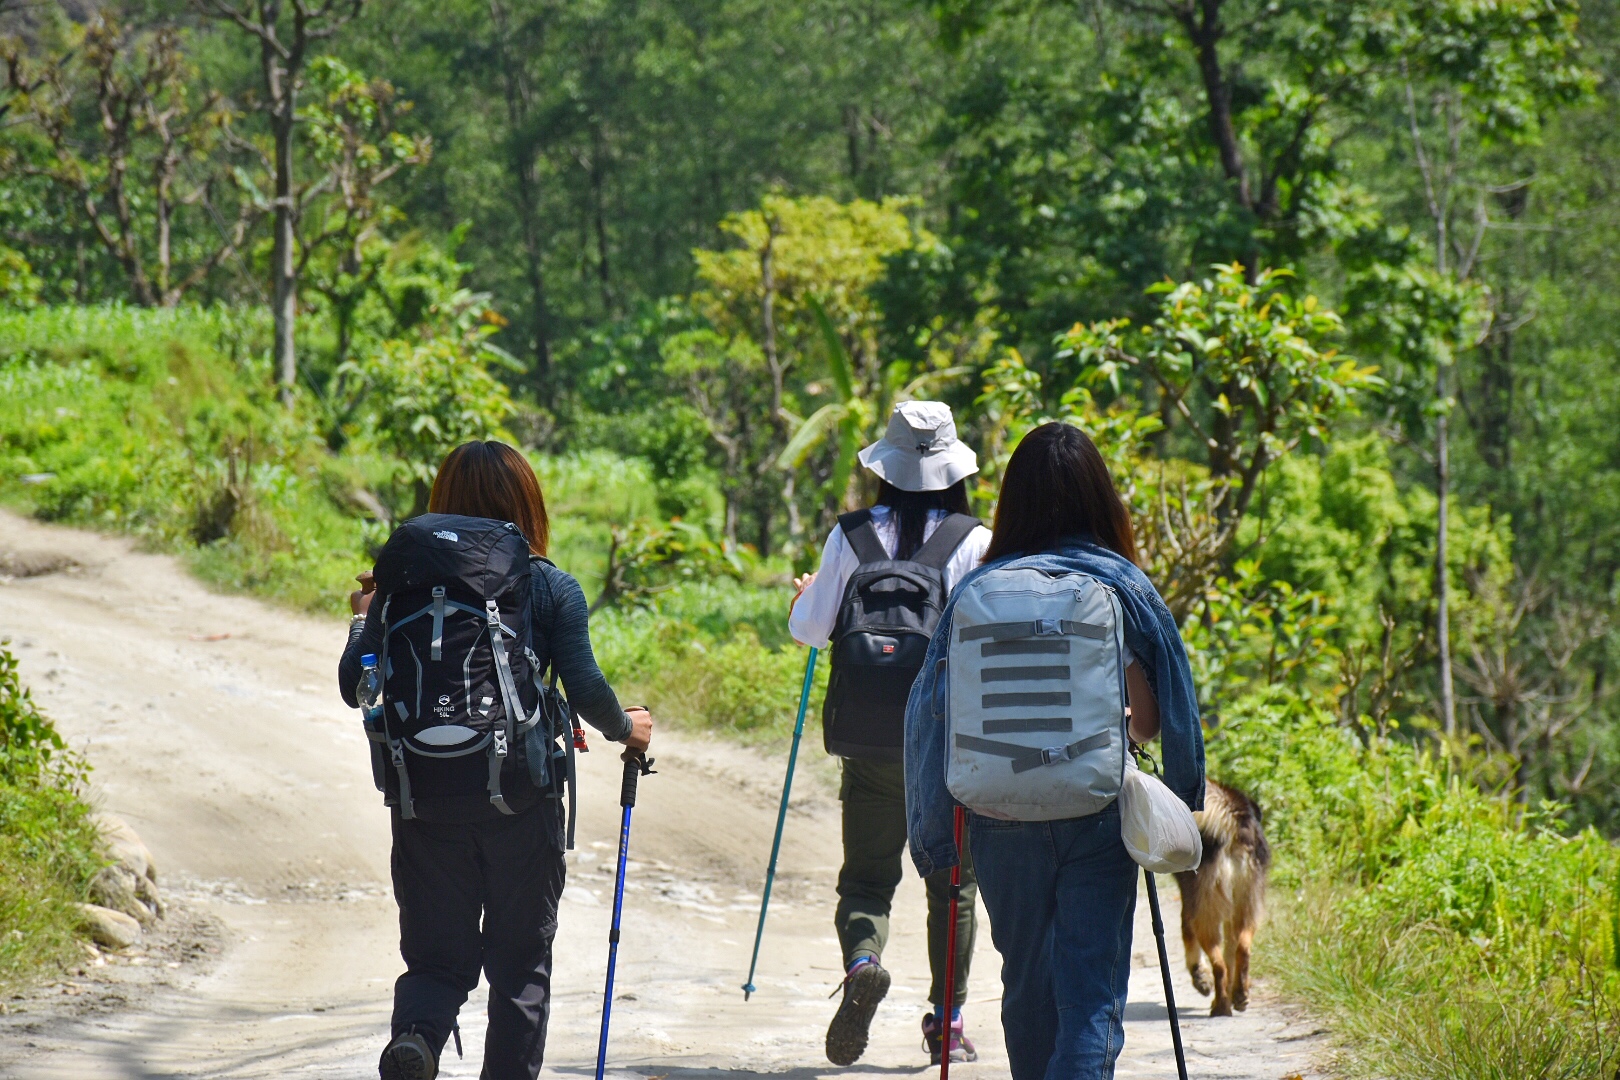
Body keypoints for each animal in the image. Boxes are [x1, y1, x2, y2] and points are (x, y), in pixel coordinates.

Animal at [1172, 780, 1270, 1016]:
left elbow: (1187, 936)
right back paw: (1239, 996)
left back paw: (1221, 1005)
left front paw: (1200, 978)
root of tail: (1231, 827)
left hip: (1206, 914)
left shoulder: (1190, 903)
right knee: (1242, 949)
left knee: (1219, 965)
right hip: (1247, 904)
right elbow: (1230, 952)